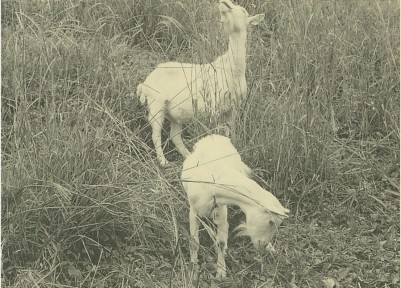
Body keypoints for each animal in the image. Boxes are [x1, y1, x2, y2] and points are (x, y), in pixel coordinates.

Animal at [136, 0, 264, 165]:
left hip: (175, 114)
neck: (232, 69)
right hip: (156, 105)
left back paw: (188, 156)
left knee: (175, 136)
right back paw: (163, 162)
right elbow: (216, 132)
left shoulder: (233, 108)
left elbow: (230, 131)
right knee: (156, 134)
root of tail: (144, 84)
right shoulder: (213, 107)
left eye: (243, 10)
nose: (224, 3)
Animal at [180, 135, 288, 280]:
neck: (214, 181)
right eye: (271, 221)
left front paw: (221, 271)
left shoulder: (220, 209)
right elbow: (194, 242)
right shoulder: (194, 211)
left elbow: (220, 242)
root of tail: (215, 136)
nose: (263, 245)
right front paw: (193, 270)